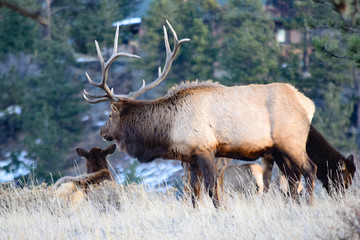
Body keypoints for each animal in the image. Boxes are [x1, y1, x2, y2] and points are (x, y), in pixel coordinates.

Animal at [83, 21, 316, 208]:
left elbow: (212, 190)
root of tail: (309, 103)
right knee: (293, 178)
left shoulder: (206, 150)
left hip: (292, 141)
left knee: (309, 169)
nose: (102, 132)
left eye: (109, 115)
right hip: (276, 149)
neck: (170, 130)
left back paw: (309, 205)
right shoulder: (191, 157)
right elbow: (195, 194)